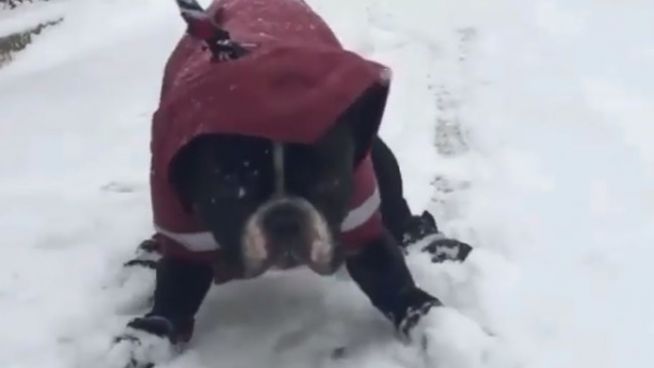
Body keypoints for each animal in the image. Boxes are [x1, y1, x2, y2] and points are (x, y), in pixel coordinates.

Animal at [113, 0, 472, 366]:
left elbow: (397, 286)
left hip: (377, 153)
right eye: (230, 188)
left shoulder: (363, 229)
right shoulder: (184, 244)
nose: (285, 219)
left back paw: (431, 242)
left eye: (329, 179)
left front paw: (436, 327)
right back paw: (148, 253)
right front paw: (140, 344)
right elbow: (167, 311)